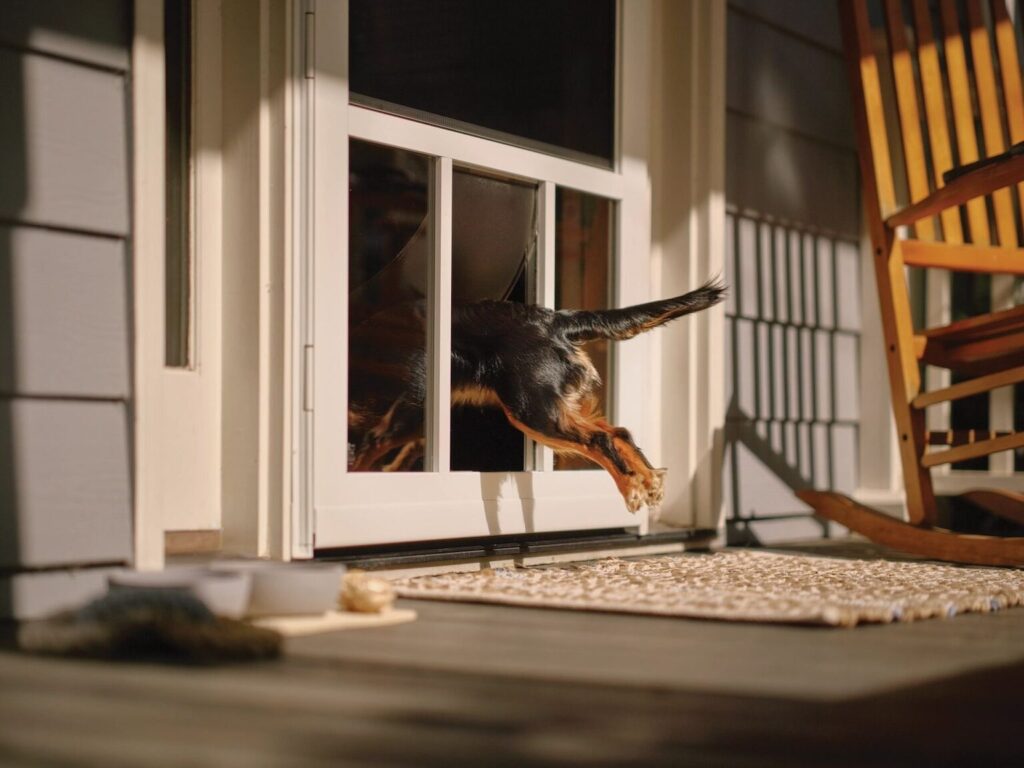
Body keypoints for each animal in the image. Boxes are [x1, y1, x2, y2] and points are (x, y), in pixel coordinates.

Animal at [348, 279, 726, 513]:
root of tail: (555, 320)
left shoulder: (397, 421)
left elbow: (363, 458)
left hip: (531, 410)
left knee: (601, 439)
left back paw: (632, 488)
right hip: (546, 406)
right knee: (619, 432)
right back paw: (647, 481)